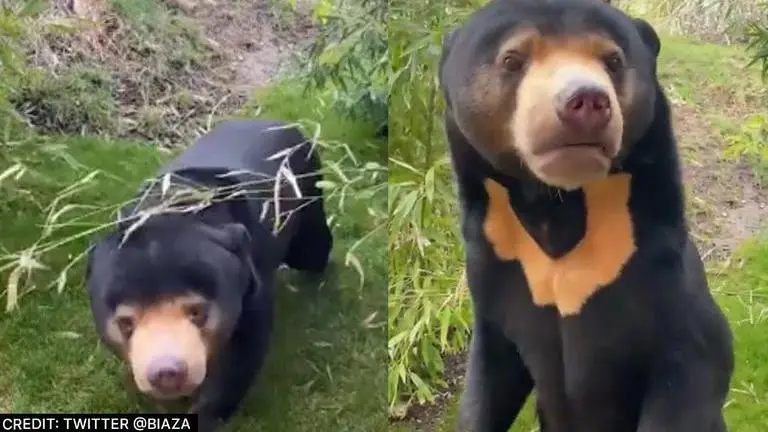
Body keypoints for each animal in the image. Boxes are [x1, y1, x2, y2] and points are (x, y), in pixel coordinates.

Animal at [85, 119, 333, 431]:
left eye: (197, 312)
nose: (166, 372)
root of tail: (286, 123)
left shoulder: (250, 288)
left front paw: (205, 414)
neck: (176, 206)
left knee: (314, 250)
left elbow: (239, 357)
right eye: (126, 323)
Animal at [438, 0, 734, 431]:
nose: (587, 101)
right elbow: (489, 380)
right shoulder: (493, 266)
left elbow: (692, 366)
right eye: (512, 59)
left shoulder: (663, 273)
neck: (557, 204)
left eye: (613, 60)